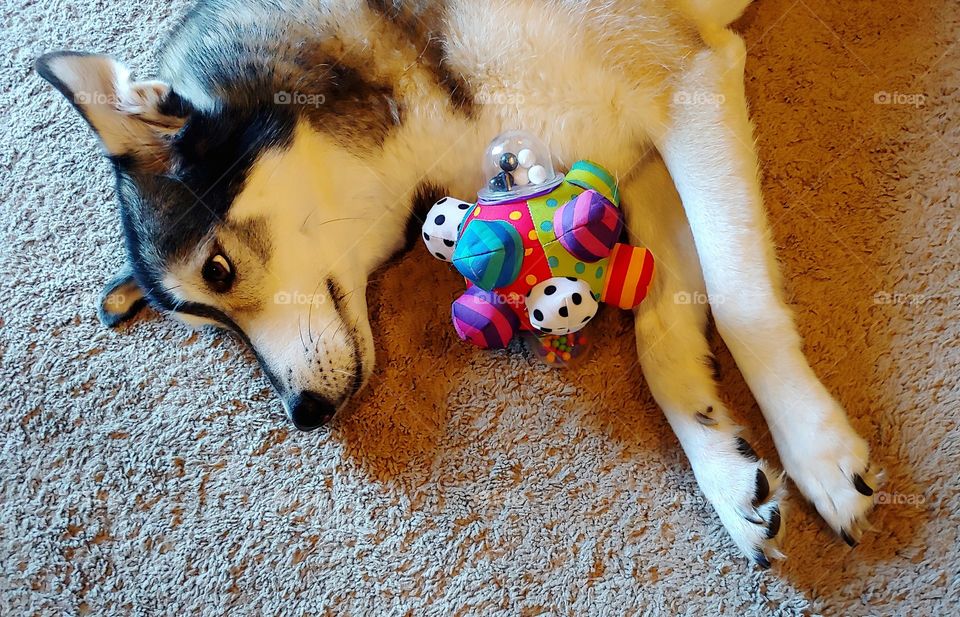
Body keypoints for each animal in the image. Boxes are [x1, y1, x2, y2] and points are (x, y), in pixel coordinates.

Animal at [37, 0, 876, 564]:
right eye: (209, 322)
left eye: (219, 268)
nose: (304, 414)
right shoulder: (636, 158)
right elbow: (663, 337)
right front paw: (727, 474)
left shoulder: (687, 79)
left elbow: (738, 302)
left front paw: (815, 448)